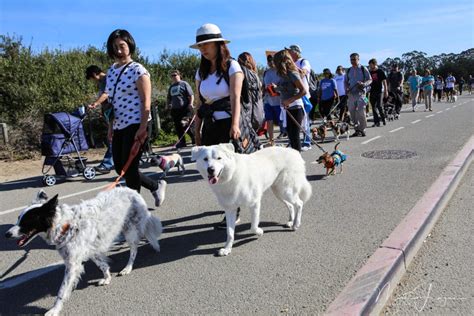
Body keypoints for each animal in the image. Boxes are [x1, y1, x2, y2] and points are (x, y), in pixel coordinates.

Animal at [3, 188, 164, 316]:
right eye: (18, 219)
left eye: (26, 221)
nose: (6, 234)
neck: (66, 226)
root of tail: (133, 191)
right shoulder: (90, 250)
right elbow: (102, 265)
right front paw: (107, 278)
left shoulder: (72, 265)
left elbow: (62, 291)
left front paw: (55, 310)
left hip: (130, 231)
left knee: (134, 250)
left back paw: (127, 268)